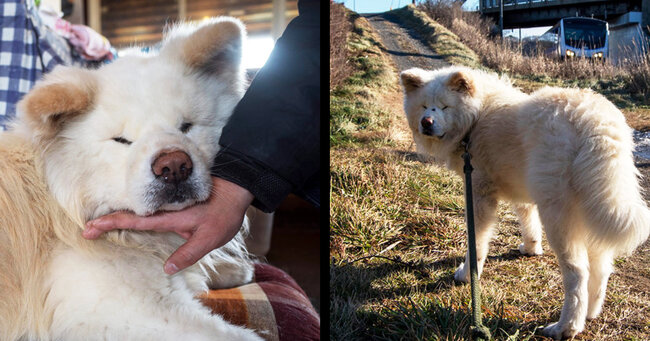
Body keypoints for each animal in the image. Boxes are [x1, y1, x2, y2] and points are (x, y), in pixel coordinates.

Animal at [0, 17, 264, 340]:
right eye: (122, 140)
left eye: (186, 126)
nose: (174, 166)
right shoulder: (127, 312)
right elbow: (240, 335)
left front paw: (235, 268)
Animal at [400, 65, 648, 338]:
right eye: (424, 106)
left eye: (444, 106)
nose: (426, 122)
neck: (476, 117)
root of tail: (595, 120)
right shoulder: (522, 191)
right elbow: (528, 221)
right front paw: (531, 248)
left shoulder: (479, 194)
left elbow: (477, 243)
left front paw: (467, 275)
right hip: (591, 212)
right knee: (601, 268)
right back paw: (590, 313)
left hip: (559, 217)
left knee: (577, 273)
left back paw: (565, 327)